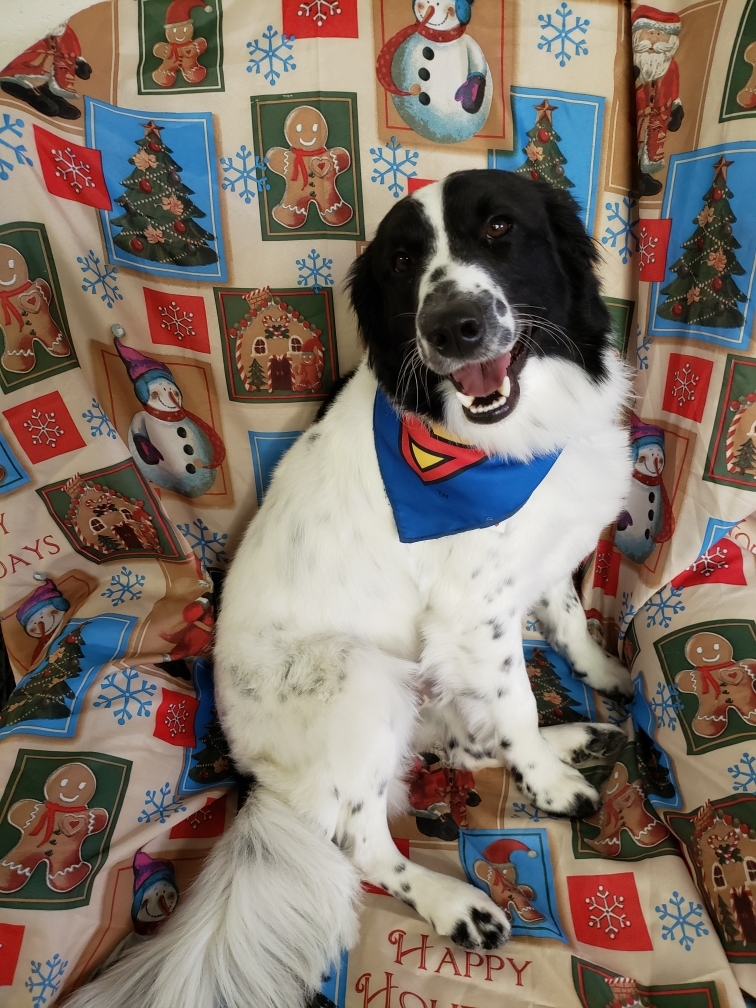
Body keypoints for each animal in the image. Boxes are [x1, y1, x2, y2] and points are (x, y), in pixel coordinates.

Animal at [66, 170, 633, 1008]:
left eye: (500, 228)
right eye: (402, 263)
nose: (453, 326)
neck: (503, 444)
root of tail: (255, 779)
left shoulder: (542, 561)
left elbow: (566, 625)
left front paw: (603, 680)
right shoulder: (475, 617)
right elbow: (519, 704)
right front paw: (549, 783)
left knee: (458, 745)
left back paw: (575, 736)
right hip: (360, 678)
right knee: (362, 836)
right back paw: (454, 901)